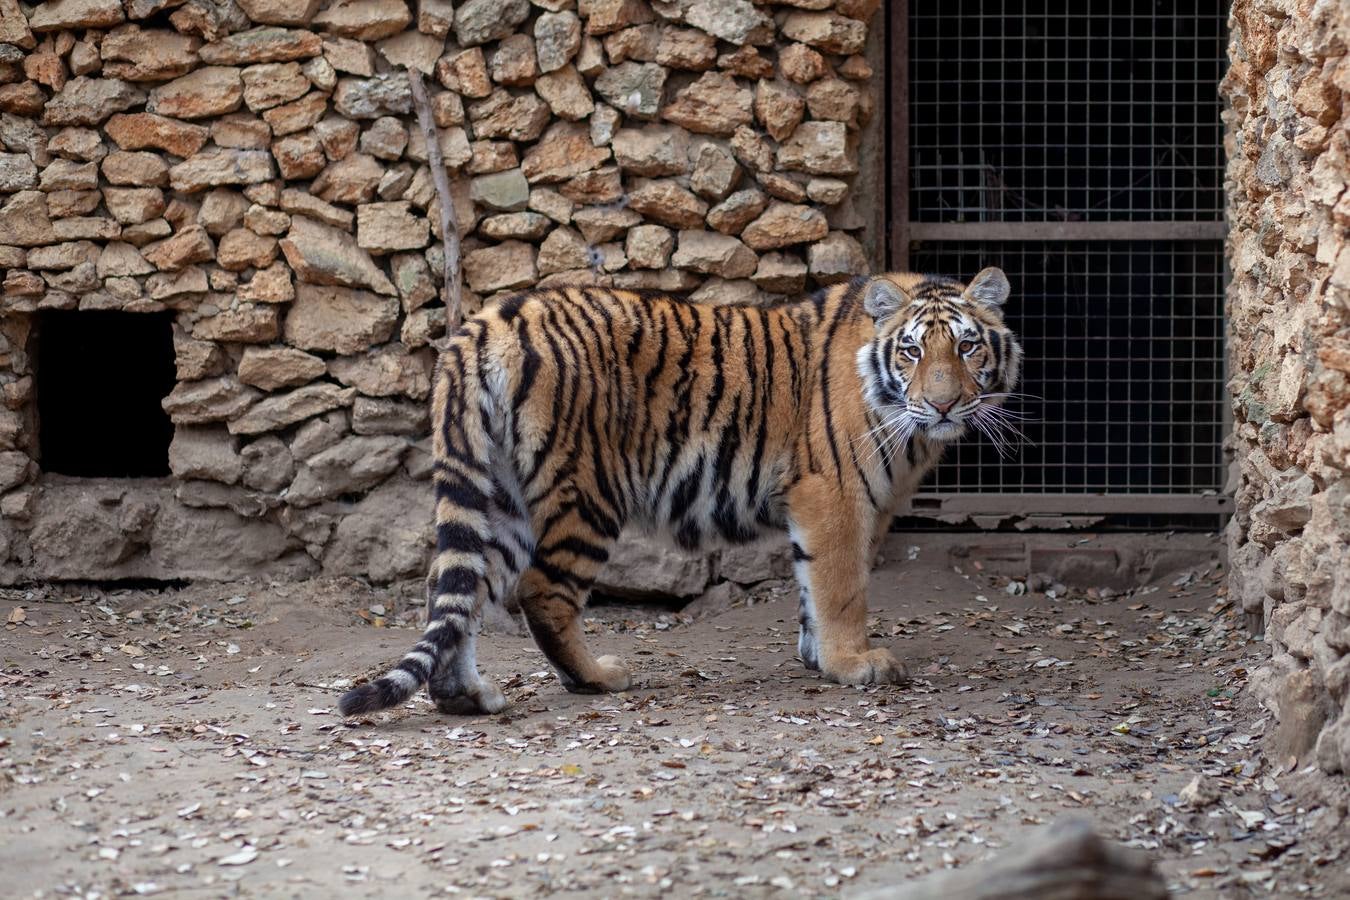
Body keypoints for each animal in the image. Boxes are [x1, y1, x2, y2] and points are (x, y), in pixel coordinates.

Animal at [340, 267, 1020, 717]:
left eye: (967, 346)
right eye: (911, 351)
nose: (943, 404)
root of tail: (484, 322)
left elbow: (811, 584)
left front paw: (816, 656)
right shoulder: (836, 495)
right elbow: (841, 587)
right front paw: (854, 663)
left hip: (495, 494)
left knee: (454, 587)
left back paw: (466, 697)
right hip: (587, 491)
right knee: (540, 592)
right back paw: (598, 678)